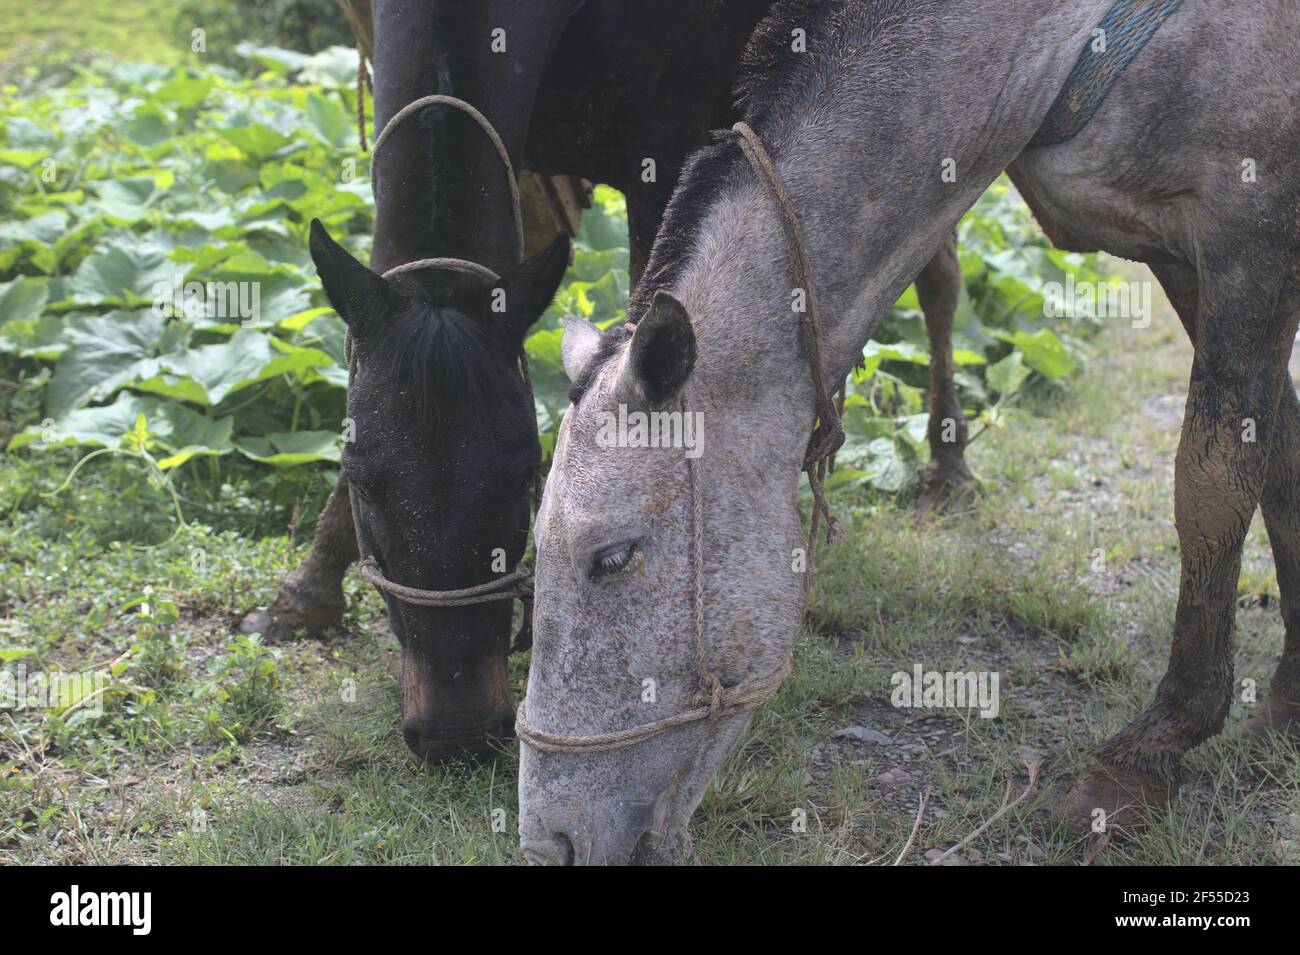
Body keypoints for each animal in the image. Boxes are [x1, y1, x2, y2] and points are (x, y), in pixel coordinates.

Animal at [246, 0, 973, 761]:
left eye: (525, 474)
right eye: (360, 478)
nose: (459, 731)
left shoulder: (670, 147)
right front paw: (308, 589)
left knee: (940, 272)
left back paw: (950, 459)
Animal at [522, 0, 1300, 863]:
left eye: (612, 556)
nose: (548, 839)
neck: (1056, 36)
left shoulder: (1251, 238)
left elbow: (1214, 487)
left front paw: (1153, 749)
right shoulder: (1189, 256)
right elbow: (1280, 460)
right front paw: (1288, 700)